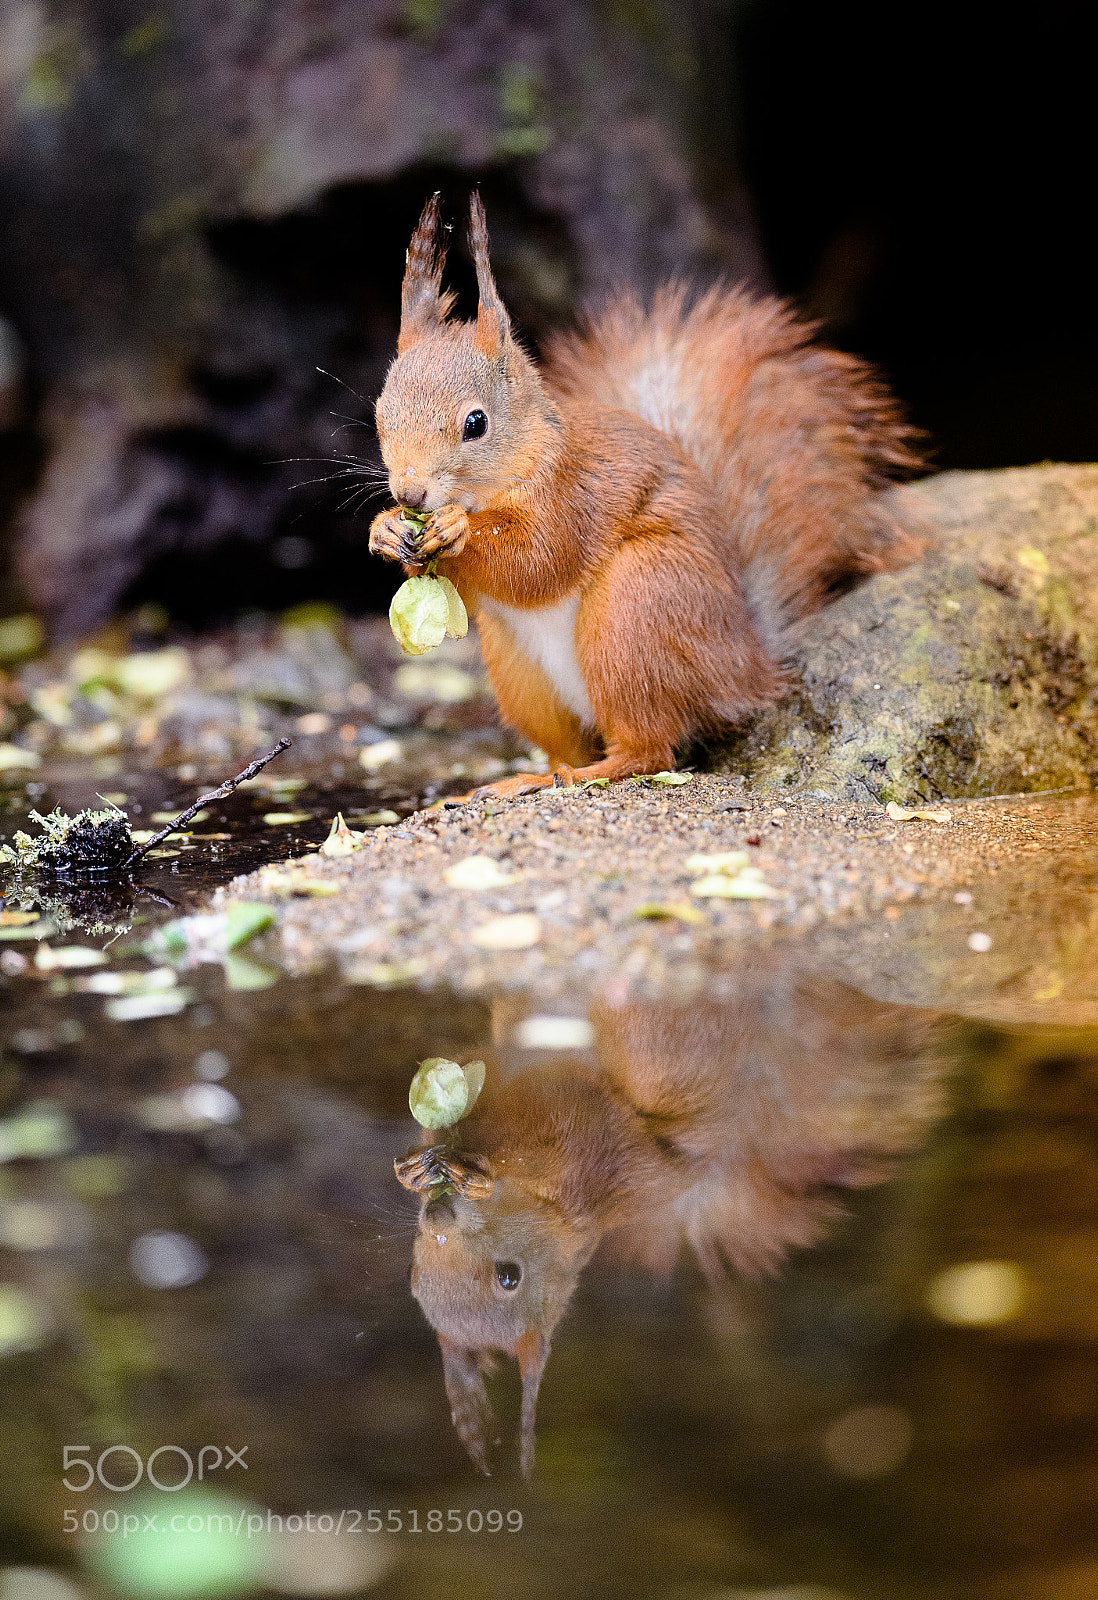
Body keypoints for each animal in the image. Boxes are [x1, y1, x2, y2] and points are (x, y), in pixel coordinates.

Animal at [370, 194, 923, 797]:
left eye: (476, 423)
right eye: (380, 411)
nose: (410, 491)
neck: (509, 473)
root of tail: (745, 668)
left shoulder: (573, 495)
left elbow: (540, 560)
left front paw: (457, 532)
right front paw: (385, 530)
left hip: (638, 606)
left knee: (648, 750)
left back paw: (586, 773)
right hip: (523, 672)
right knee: (570, 745)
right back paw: (524, 779)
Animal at [395, 961, 948, 1476]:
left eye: (510, 1277)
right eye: (416, 1283)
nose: (439, 1215)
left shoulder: (583, 1154)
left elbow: (549, 1141)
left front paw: (475, 1176)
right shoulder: (492, 1071)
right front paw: (415, 1169)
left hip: (656, 1043)